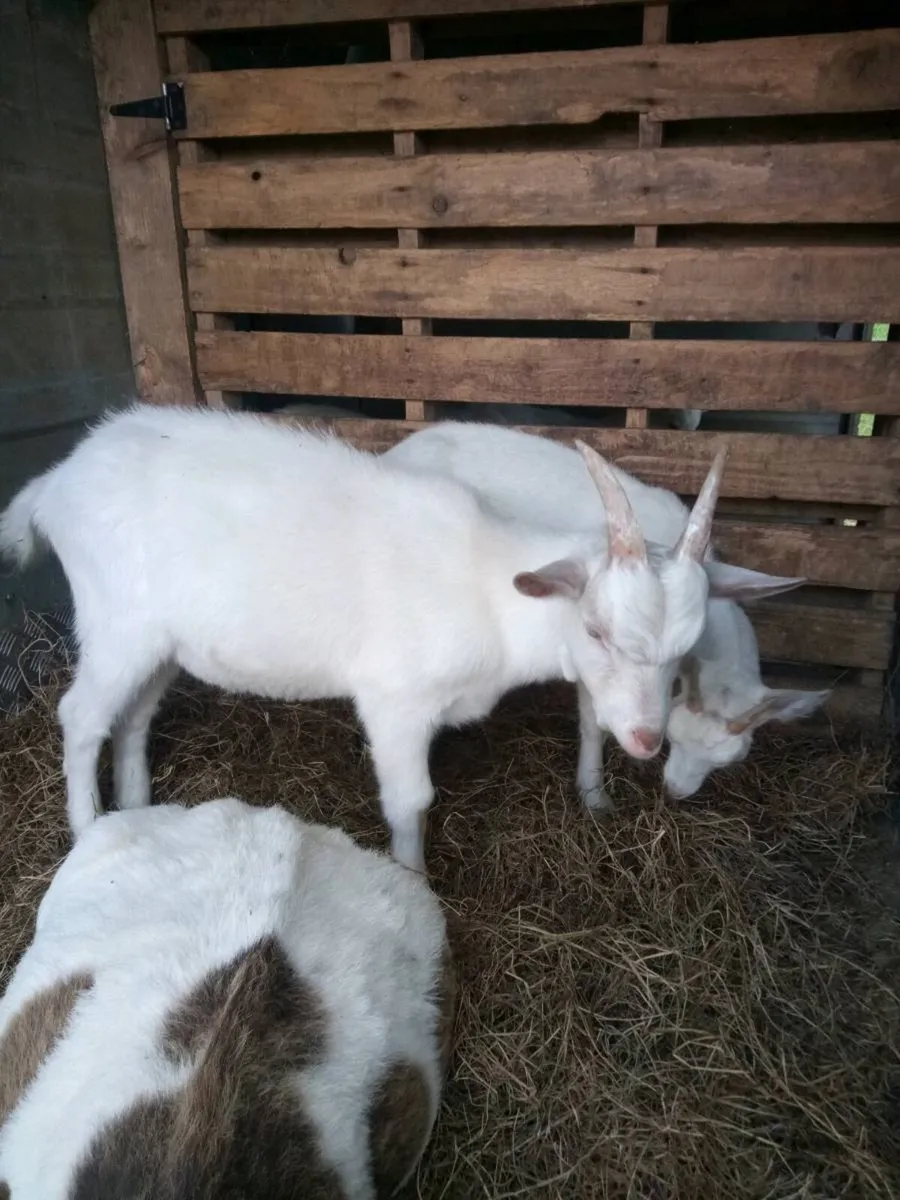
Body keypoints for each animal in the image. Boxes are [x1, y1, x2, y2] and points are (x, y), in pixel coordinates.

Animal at [0, 405, 724, 870]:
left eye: (684, 652)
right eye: (597, 630)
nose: (646, 739)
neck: (487, 585)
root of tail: (54, 484)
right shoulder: (395, 700)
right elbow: (411, 801)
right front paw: (413, 882)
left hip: (159, 645)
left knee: (133, 717)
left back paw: (137, 807)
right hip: (115, 624)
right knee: (81, 715)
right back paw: (87, 831)